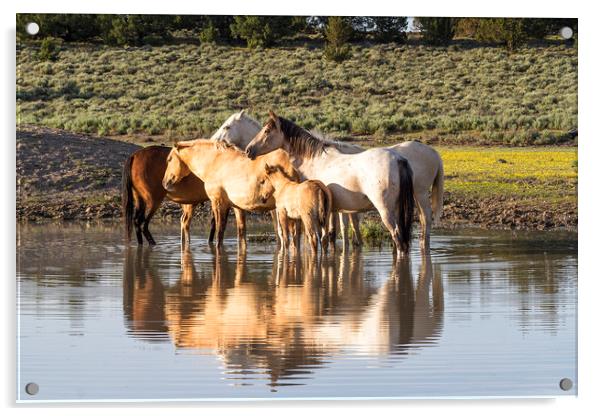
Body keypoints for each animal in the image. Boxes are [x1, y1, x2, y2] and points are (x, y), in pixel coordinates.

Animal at [162, 140, 298, 247]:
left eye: (169, 159)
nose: (164, 183)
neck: (214, 162)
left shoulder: (218, 203)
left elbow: (219, 233)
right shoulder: (237, 207)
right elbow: (241, 235)